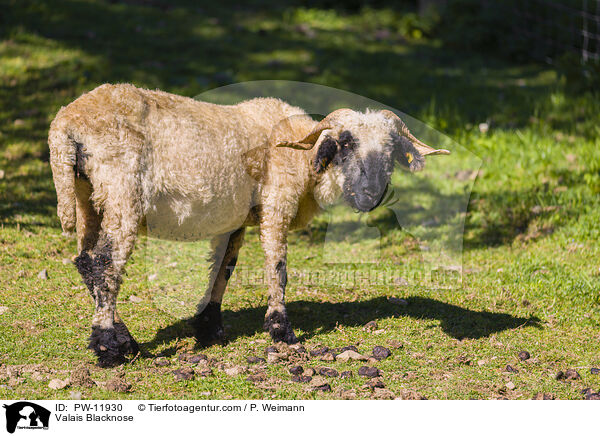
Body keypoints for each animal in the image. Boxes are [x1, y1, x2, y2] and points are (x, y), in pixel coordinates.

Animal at [49, 83, 448, 366]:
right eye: (345, 143)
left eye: (391, 151)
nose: (370, 195)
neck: (300, 155)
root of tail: (66, 126)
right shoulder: (276, 203)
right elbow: (277, 267)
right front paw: (282, 331)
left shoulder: (237, 218)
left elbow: (223, 268)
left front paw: (209, 327)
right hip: (122, 191)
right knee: (105, 264)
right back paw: (108, 349)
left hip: (88, 195)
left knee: (86, 262)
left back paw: (123, 339)